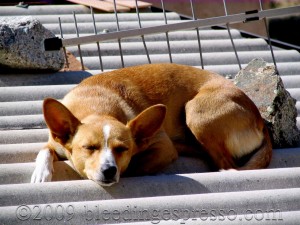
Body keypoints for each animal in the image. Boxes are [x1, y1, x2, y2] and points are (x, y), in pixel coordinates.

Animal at [31, 63, 274, 186]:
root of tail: (259, 118)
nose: (109, 171)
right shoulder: (55, 141)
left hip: (195, 111)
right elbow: (44, 150)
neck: (96, 105)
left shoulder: (164, 148)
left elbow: (136, 166)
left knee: (225, 163)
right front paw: (41, 173)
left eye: (122, 149)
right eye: (89, 148)